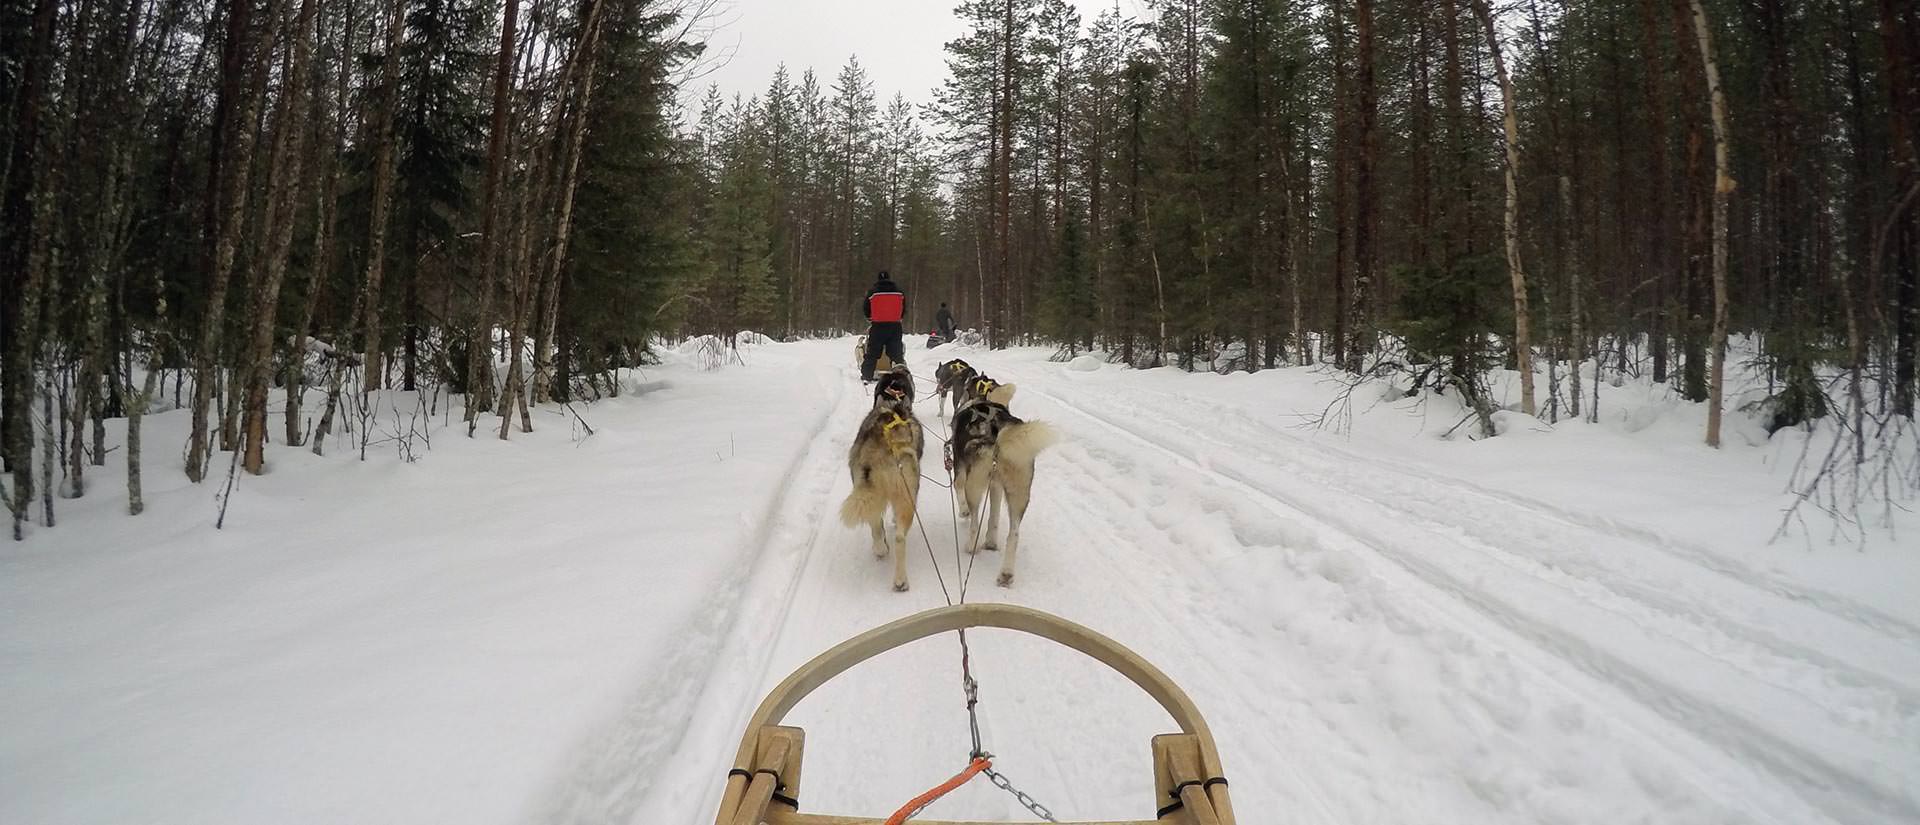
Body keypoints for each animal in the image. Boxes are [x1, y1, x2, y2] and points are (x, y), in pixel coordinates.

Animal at [844, 364, 925, 590]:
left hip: (870, 491)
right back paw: (899, 578)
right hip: (906, 497)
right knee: (896, 535)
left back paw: (884, 555)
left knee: (879, 529)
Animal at [952, 376, 1059, 587]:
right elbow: (993, 517)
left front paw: (963, 512)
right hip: (1019, 494)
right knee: (1014, 534)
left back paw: (971, 546)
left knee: (975, 521)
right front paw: (991, 541)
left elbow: (958, 491)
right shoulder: (996, 486)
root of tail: (999, 428)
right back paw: (1006, 573)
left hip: (974, 486)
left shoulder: (960, 472)